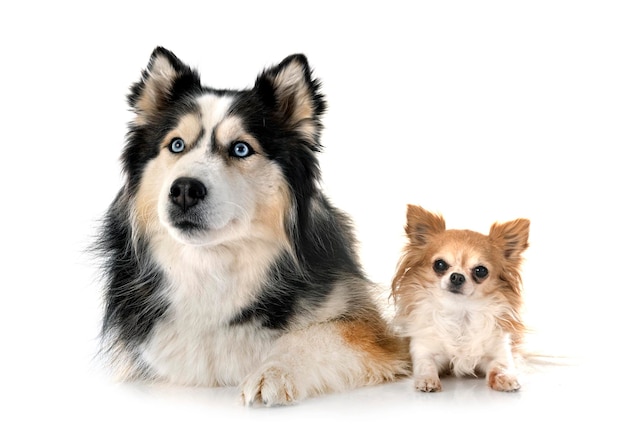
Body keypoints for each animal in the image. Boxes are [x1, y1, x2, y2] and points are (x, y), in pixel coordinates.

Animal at [92, 48, 408, 408]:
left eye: (241, 148)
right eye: (176, 145)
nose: (184, 189)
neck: (211, 263)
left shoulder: (368, 328)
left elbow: (314, 335)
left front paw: (273, 371)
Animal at [390, 204, 528, 392]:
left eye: (481, 271)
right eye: (440, 264)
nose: (457, 276)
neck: (461, 312)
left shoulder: (499, 351)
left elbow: (500, 366)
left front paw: (505, 378)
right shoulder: (424, 349)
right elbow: (425, 365)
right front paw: (427, 380)